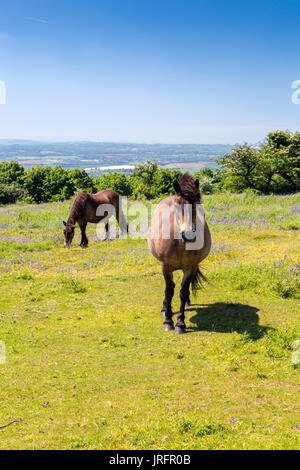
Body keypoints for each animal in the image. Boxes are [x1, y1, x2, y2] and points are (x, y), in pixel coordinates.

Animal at [148, 173, 211, 334]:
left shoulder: (190, 267)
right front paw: (168, 321)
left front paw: (180, 324)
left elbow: (182, 291)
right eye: (177, 204)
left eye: (196, 203)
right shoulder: (165, 266)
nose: (188, 235)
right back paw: (165, 309)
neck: (179, 243)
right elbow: (169, 291)